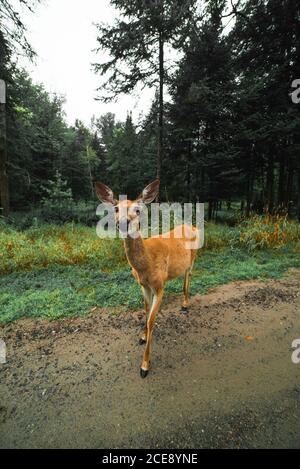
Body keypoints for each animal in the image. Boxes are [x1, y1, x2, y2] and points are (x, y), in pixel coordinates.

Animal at [95, 179, 199, 376]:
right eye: (116, 209)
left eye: (138, 209)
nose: (123, 223)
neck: (147, 263)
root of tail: (193, 226)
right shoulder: (143, 285)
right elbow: (145, 310)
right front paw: (142, 336)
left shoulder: (159, 286)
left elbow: (151, 321)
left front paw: (145, 365)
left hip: (194, 257)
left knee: (188, 276)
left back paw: (185, 304)